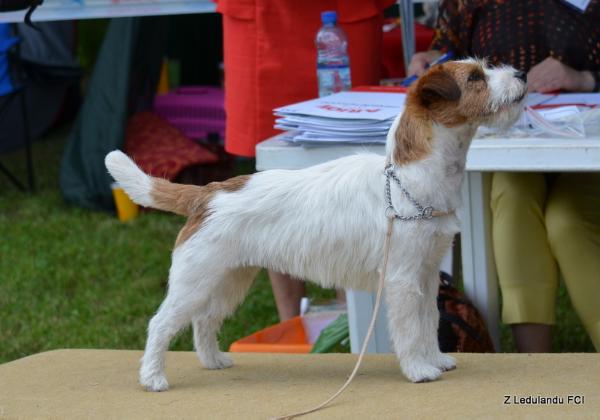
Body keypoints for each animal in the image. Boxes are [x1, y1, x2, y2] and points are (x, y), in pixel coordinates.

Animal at [105, 58, 528, 390]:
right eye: (475, 77)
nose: (522, 73)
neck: (409, 178)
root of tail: (206, 193)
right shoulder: (403, 280)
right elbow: (410, 330)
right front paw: (419, 370)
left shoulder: (425, 275)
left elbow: (428, 322)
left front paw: (436, 360)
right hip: (195, 281)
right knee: (160, 324)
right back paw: (153, 378)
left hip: (229, 280)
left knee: (204, 321)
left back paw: (214, 361)